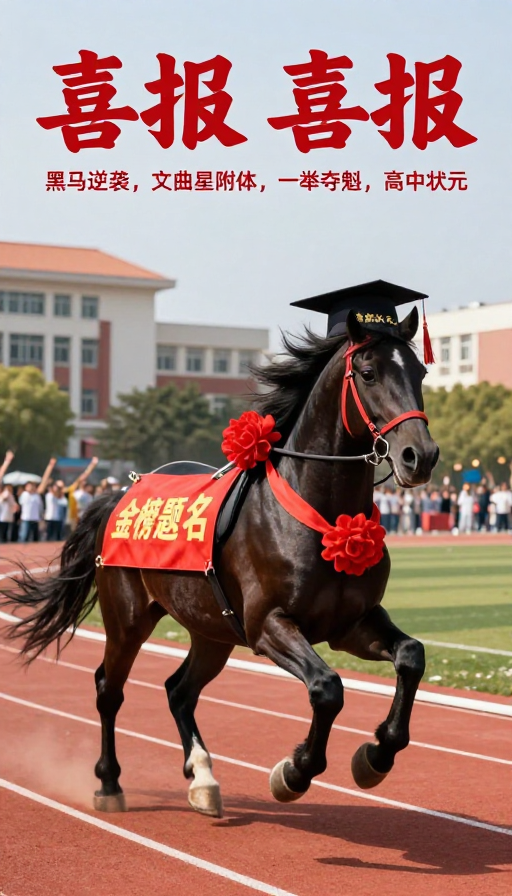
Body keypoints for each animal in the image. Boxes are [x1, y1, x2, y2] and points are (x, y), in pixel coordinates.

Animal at [2, 307, 438, 818]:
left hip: (211, 628)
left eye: (420, 372)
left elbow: (411, 656)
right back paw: (109, 783)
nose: (420, 455)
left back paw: (203, 777)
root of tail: (121, 492)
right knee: (109, 689)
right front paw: (294, 771)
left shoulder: (352, 622)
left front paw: (377, 753)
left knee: (179, 690)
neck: (319, 515)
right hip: (128, 617)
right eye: (368, 373)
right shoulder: (267, 624)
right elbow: (327, 688)